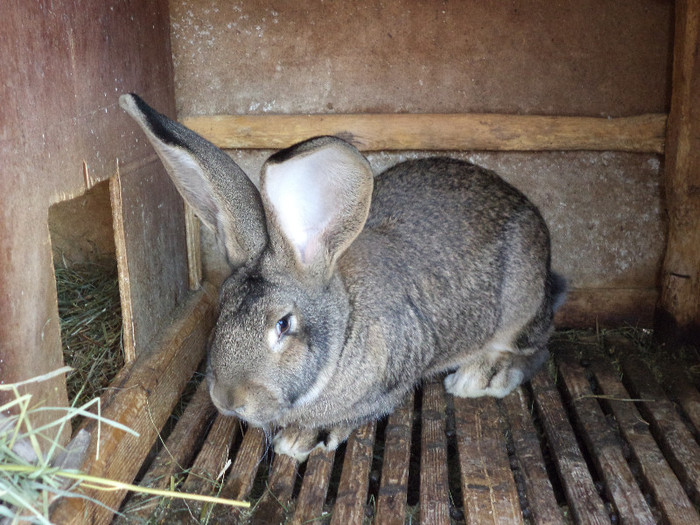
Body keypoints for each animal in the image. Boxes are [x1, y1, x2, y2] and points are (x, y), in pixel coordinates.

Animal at [120, 93, 568, 458]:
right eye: (221, 307)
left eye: (283, 324)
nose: (228, 399)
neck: (344, 330)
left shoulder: (393, 381)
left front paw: (302, 438)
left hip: (520, 303)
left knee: (536, 349)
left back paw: (481, 377)